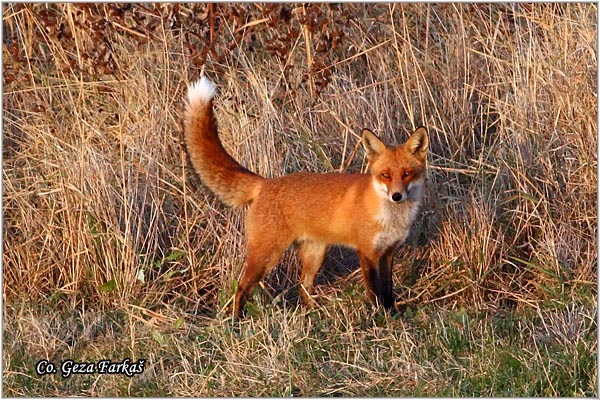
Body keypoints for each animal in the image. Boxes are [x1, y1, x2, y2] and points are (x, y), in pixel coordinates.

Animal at [183, 76, 426, 318]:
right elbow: (375, 291)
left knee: (303, 288)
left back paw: (312, 315)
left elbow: (388, 289)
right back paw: (236, 320)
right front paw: (379, 317)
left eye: (407, 173)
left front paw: (392, 313)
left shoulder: (388, 253)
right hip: (266, 255)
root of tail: (265, 183)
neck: (391, 217)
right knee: (242, 287)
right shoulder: (367, 253)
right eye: (385, 175)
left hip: (314, 255)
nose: (397, 196)